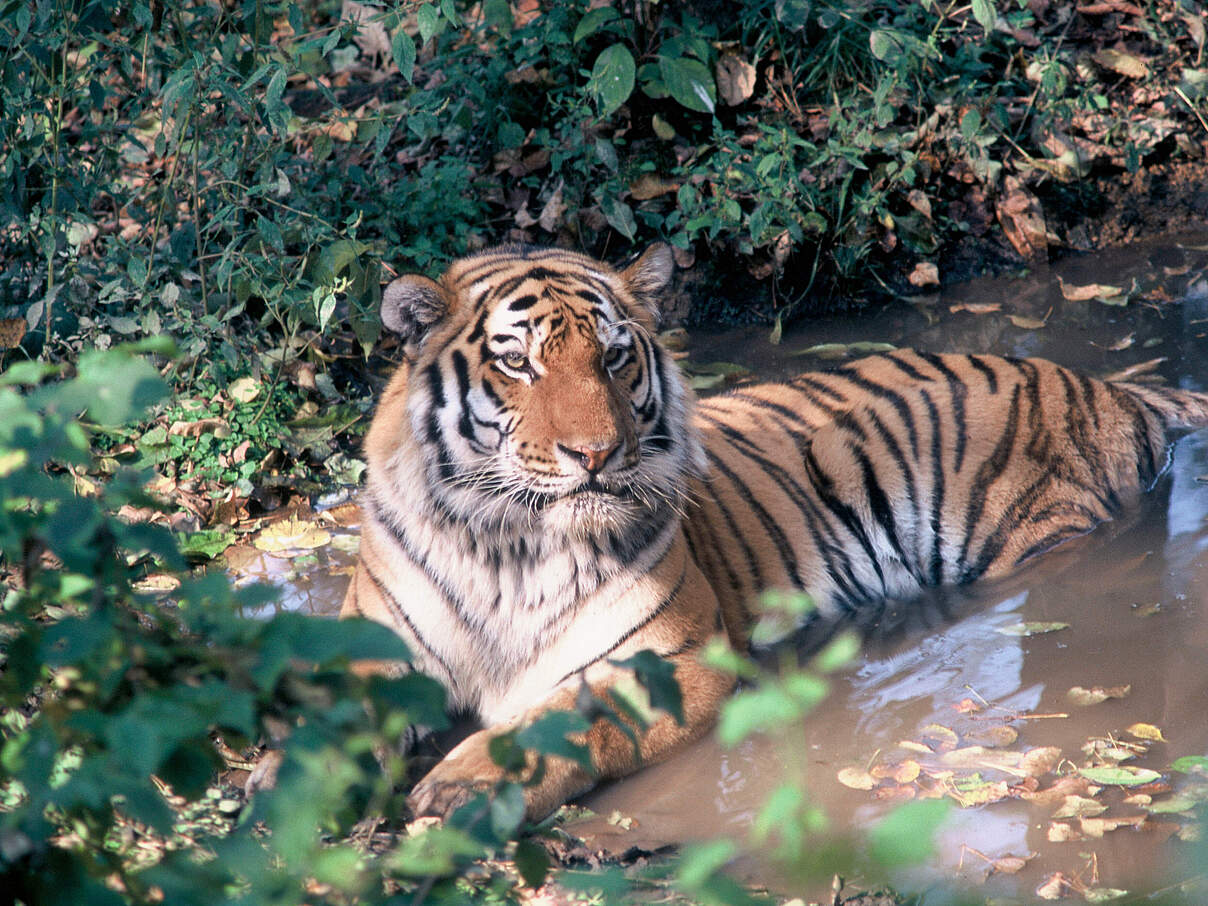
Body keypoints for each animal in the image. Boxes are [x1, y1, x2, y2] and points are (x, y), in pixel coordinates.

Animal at [340, 243, 1208, 822]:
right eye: (517, 363)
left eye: (615, 358)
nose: (596, 454)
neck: (507, 547)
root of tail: (1106, 385)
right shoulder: (373, 653)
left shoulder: (671, 663)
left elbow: (564, 722)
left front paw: (460, 786)